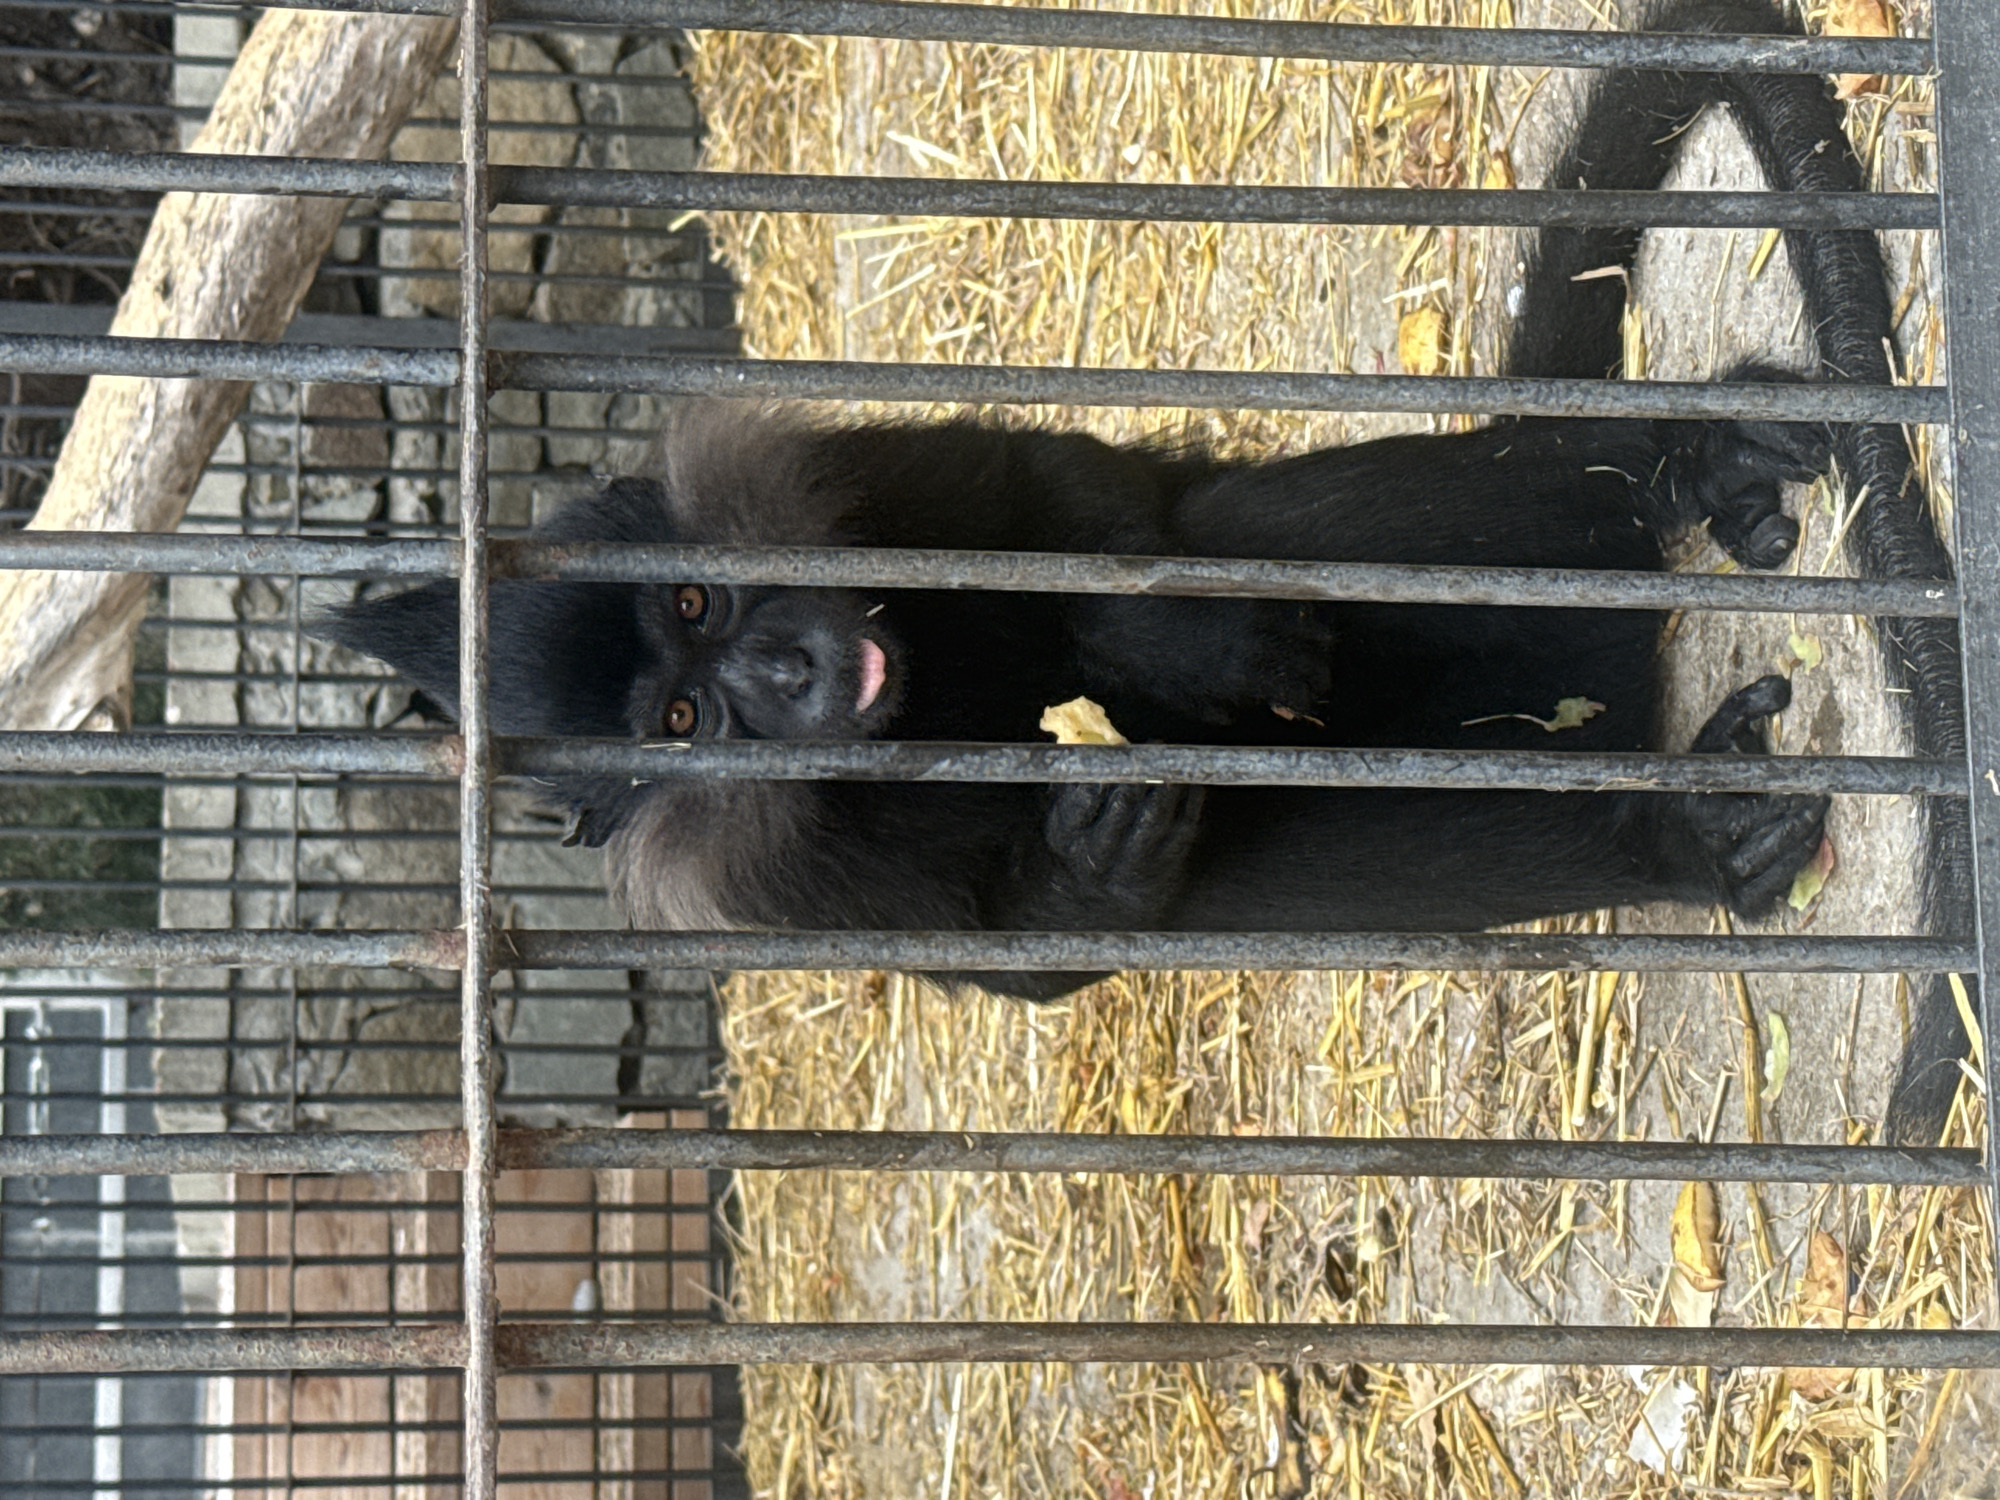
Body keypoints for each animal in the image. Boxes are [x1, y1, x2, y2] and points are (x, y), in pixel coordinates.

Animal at [324, 0, 1967, 1146]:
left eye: (694, 605)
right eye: (680, 723)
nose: (782, 670)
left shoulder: (810, 477)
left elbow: (1053, 485)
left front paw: (1164, 648)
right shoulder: (779, 890)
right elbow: (1051, 954)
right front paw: (1089, 862)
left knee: (1267, 532)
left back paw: (1682, 469)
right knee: (1263, 856)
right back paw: (1681, 830)